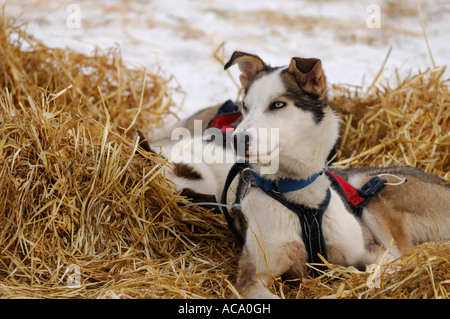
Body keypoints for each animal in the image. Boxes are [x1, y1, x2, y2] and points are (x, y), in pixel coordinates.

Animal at [224, 50, 450, 300]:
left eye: (278, 104)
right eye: (245, 106)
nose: (236, 139)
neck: (300, 196)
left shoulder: (370, 250)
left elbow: (389, 268)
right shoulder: (250, 280)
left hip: (370, 188)